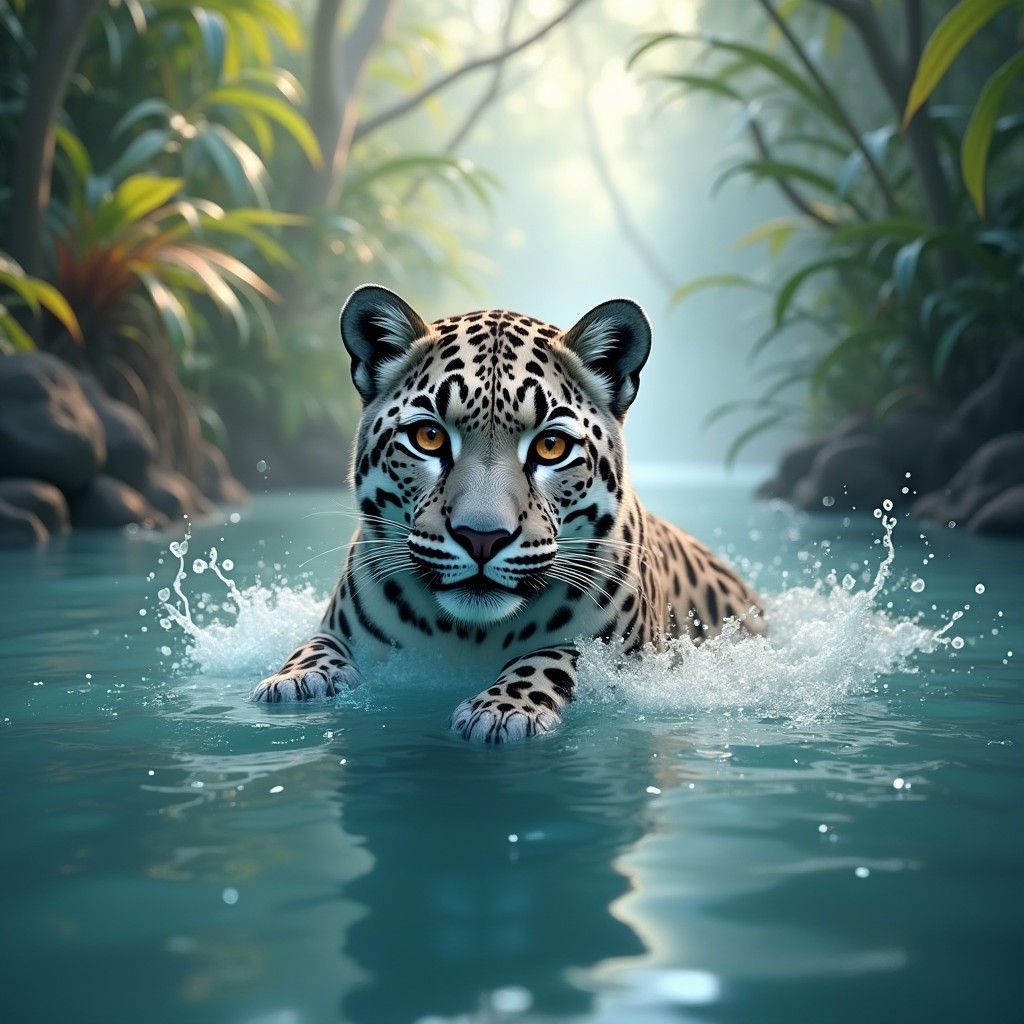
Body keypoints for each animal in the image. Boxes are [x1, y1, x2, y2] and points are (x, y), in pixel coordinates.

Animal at [252, 284, 765, 742]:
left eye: (551, 446)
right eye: (428, 438)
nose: (482, 537)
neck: (467, 637)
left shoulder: (626, 657)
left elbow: (554, 657)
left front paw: (501, 710)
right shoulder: (339, 629)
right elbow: (315, 644)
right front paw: (294, 681)